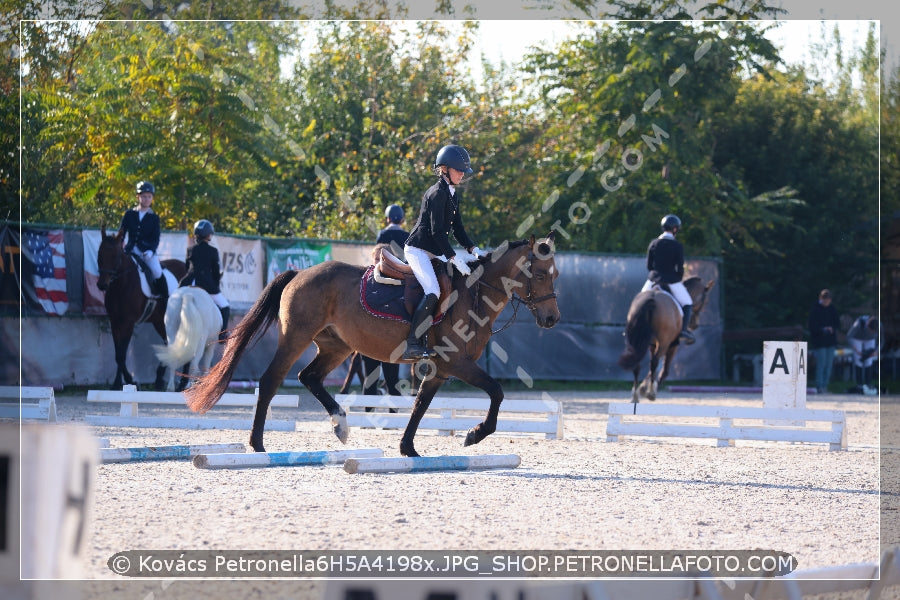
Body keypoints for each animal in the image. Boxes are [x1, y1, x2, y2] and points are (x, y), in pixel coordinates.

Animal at [96, 225, 186, 390]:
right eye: (100, 255)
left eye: (116, 256)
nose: (102, 285)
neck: (121, 284)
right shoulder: (115, 322)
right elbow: (118, 354)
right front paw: (119, 383)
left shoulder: (128, 323)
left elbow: (122, 354)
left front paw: (129, 381)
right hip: (160, 321)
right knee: (167, 343)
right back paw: (159, 379)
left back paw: (180, 383)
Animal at [184, 232, 560, 458]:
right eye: (541, 274)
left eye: (554, 275)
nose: (552, 319)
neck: (474, 295)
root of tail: (298, 273)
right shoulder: (457, 363)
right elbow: (496, 391)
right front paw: (475, 434)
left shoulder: (440, 369)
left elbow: (420, 405)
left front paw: (408, 448)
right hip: (296, 337)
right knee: (271, 380)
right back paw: (258, 443)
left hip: (337, 347)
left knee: (309, 377)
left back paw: (340, 425)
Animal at [616, 276, 712, 404]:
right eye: (705, 302)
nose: (694, 325)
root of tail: (652, 297)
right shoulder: (672, 345)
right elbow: (664, 369)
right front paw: (648, 389)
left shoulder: (652, 344)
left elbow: (652, 368)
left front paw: (643, 388)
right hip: (664, 342)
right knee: (655, 362)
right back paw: (651, 393)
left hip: (636, 341)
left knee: (638, 363)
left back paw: (635, 396)